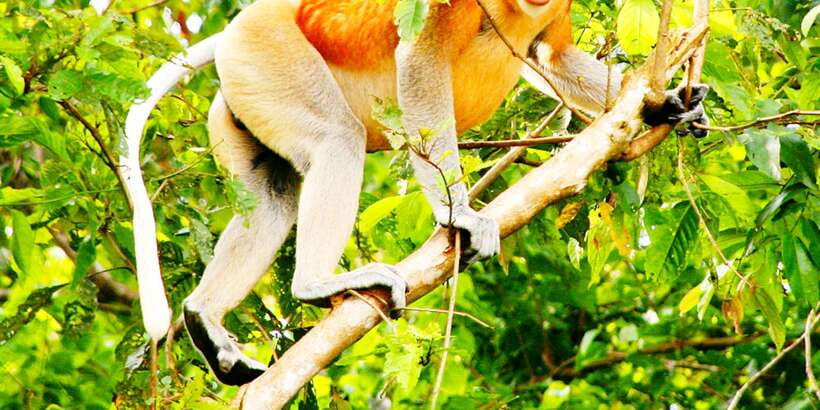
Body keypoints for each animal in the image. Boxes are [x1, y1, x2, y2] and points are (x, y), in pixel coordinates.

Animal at [122, 0, 709, 386]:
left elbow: (555, 54)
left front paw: (668, 106)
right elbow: (422, 66)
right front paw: (462, 215)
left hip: (242, 98)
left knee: (272, 193)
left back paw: (204, 320)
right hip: (267, 52)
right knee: (337, 139)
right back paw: (315, 285)